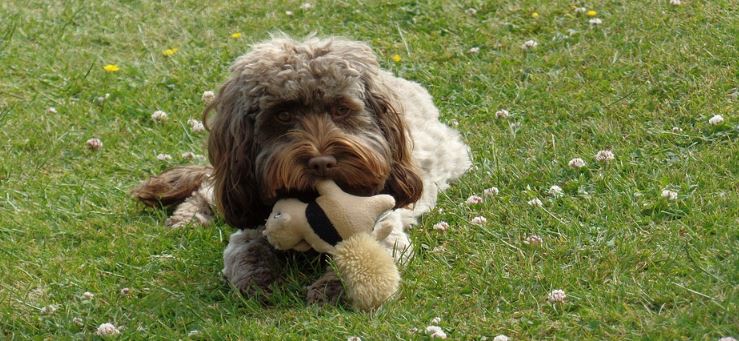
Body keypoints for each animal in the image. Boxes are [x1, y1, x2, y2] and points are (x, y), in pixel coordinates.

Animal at [132, 35, 474, 302]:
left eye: (341, 109)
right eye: (283, 115)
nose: (322, 162)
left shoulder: (387, 229)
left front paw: (335, 286)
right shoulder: (251, 226)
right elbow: (247, 256)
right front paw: (262, 282)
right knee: (206, 191)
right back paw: (188, 218)